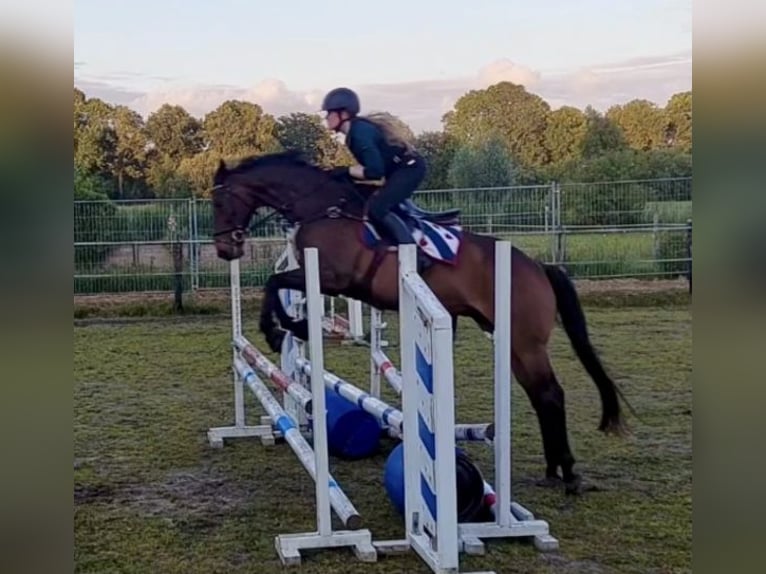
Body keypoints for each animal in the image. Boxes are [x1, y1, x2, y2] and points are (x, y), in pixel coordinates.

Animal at [210, 151, 632, 498]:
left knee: (551, 394)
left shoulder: (333, 279)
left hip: (525, 342)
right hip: (511, 343)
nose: (225, 250)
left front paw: (283, 329)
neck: (321, 208)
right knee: (540, 395)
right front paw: (286, 328)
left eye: (219, 201)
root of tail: (539, 267)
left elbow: (273, 283)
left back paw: (569, 474)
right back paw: (554, 470)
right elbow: (275, 284)